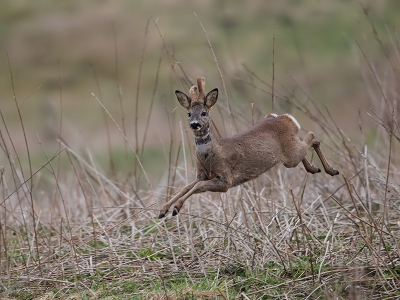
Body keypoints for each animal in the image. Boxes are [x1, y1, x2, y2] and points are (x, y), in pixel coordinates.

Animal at [158, 77, 340, 218]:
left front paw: (176, 208)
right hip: (291, 153)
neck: (212, 154)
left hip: (291, 156)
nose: (194, 124)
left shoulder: (226, 179)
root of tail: (284, 117)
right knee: (306, 145)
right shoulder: (201, 174)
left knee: (312, 136)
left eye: (204, 113)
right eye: (189, 114)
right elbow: (187, 187)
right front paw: (163, 209)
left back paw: (332, 170)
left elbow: (196, 187)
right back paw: (315, 169)